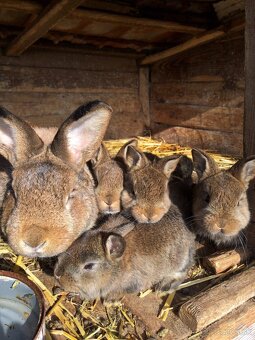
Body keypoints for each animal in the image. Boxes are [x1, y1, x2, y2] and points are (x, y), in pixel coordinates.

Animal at [54, 203, 195, 302]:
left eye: (89, 266)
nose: (57, 274)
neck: (116, 266)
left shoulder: (134, 283)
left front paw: (111, 301)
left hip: (179, 261)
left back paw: (164, 287)